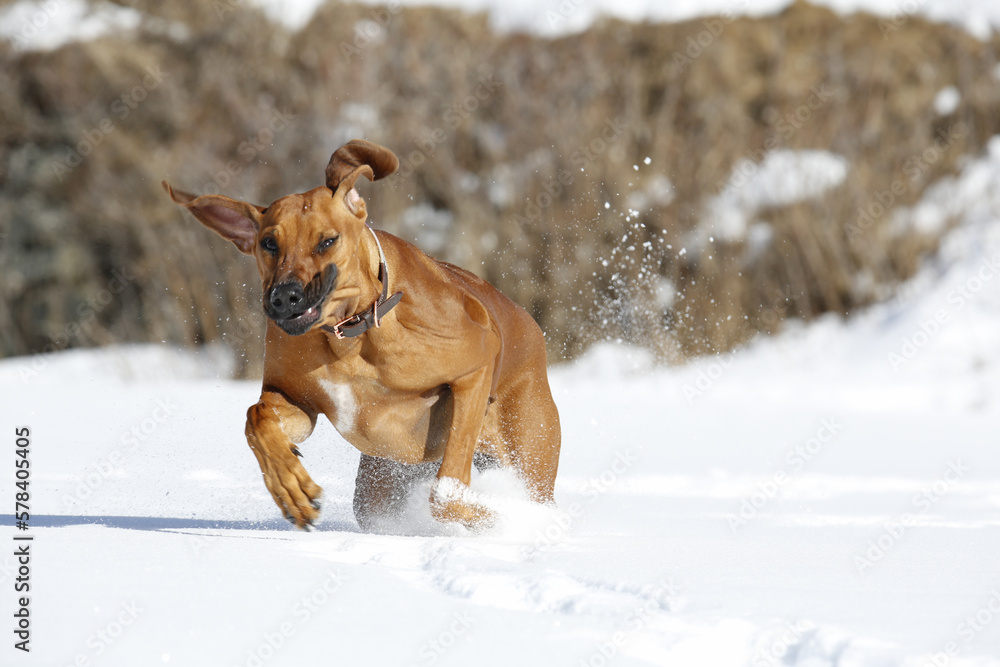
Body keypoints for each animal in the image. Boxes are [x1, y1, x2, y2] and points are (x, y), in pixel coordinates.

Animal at [161, 141, 560, 532]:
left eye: (328, 241)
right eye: (269, 243)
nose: (284, 296)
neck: (348, 336)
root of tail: (528, 323)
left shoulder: (474, 368)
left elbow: (447, 493)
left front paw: (507, 517)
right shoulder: (298, 400)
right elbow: (257, 416)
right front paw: (291, 486)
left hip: (527, 449)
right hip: (381, 482)